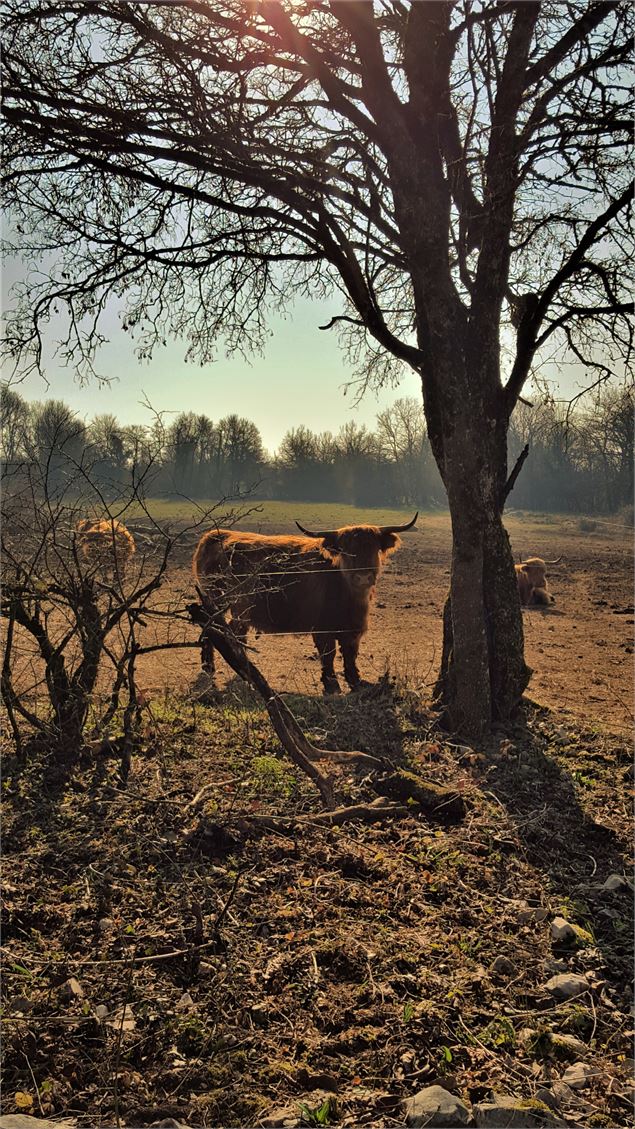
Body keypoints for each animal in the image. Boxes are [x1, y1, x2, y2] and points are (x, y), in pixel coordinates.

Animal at [188, 517, 415, 690]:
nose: (362, 577)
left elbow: (350, 654)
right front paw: (331, 683)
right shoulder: (322, 627)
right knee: (214, 628)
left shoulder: (353, 628)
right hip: (218, 599)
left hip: (239, 609)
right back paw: (210, 666)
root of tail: (215, 535)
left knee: (234, 631)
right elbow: (328, 654)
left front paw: (355, 679)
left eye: (373, 549)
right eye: (345, 550)